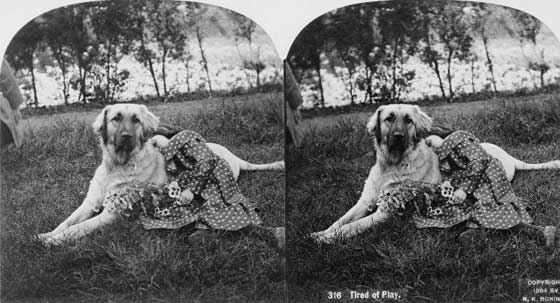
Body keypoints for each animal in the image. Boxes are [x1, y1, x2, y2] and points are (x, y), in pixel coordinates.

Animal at [38, 104, 284, 247]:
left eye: (136, 120)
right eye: (116, 118)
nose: (126, 136)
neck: (115, 166)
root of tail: (233, 156)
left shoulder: (111, 213)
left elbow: (78, 228)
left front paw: (53, 241)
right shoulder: (89, 203)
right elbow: (68, 221)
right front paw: (47, 235)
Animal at [310, 103, 560, 243]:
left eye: (408, 120)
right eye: (388, 118)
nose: (398, 137)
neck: (390, 165)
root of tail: (508, 156)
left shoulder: (385, 212)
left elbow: (352, 227)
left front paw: (326, 239)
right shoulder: (364, 203)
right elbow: (342, 220)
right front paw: (321, 233)